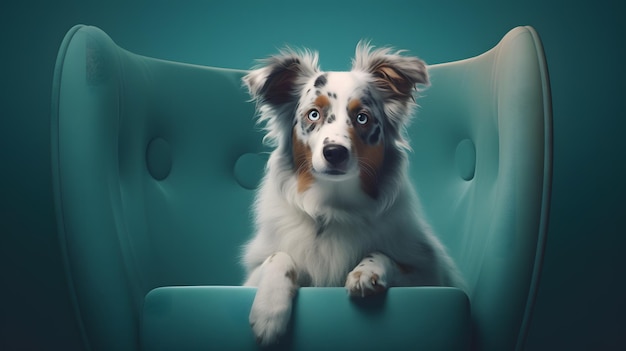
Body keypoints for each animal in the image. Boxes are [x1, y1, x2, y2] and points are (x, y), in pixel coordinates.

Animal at [240, 42, 464, 346]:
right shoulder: (250, 276)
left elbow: (382, 253)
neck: (334, 206)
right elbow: (279, 257)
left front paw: (366, 272)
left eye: (362, 118)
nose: (334, 152)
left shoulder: (431, 275)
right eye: (313, 114)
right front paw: (269, 313)